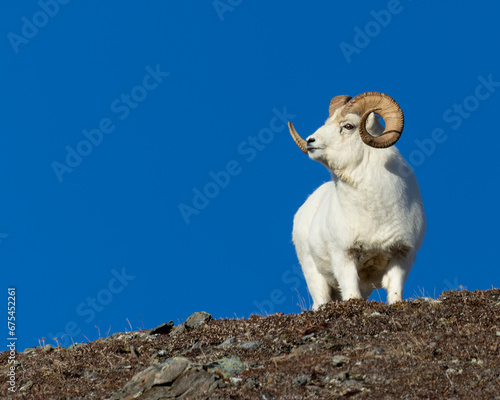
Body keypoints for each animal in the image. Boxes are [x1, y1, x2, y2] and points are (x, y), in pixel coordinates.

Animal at [290, 92, 426, 308]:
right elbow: (351, 293)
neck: (374, 211)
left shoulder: (402, 256)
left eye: (348, 126)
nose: (310, 141)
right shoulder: (344, 256)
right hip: (314, 276)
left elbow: (395, 292)